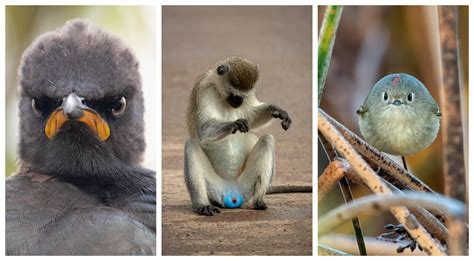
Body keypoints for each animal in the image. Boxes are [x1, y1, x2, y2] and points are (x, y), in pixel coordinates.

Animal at [185, 55, 292, 214]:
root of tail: (232, 190)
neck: (218, 90)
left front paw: (276, 110)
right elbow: (204, 129)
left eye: (244, 95)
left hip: (246, 186)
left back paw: (259, 201)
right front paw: (234, 124)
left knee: (267, 140)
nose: (239, 102)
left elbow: (250, 116)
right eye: (234, 94)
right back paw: (202, 204)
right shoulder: (205, 90)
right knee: (191, 145)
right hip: (213, 187)